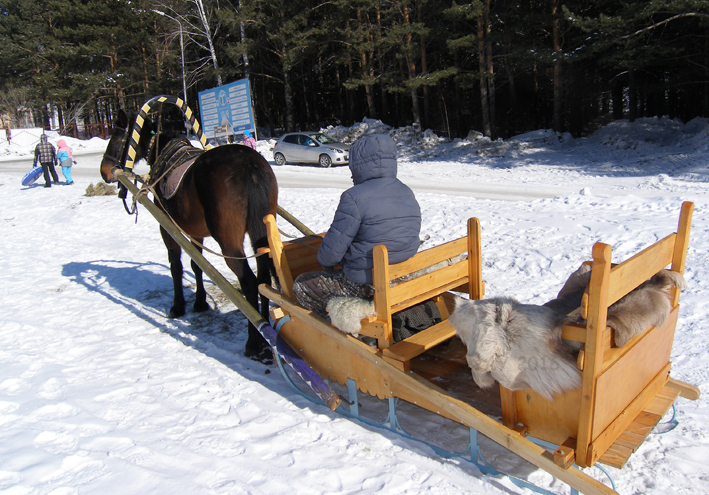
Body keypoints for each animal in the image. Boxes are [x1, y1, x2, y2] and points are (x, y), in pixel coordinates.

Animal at [99, 110, 276, 362]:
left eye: (115, 137)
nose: (104, 170)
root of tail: (249, 166)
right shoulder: (195, 233)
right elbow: (197, 266)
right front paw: (200, 301)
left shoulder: (167, 228)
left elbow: (176, 265)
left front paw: (178, 306)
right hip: (261, 231)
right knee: (264, 279)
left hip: (229, 243)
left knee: (249, 283)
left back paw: (254, 341)